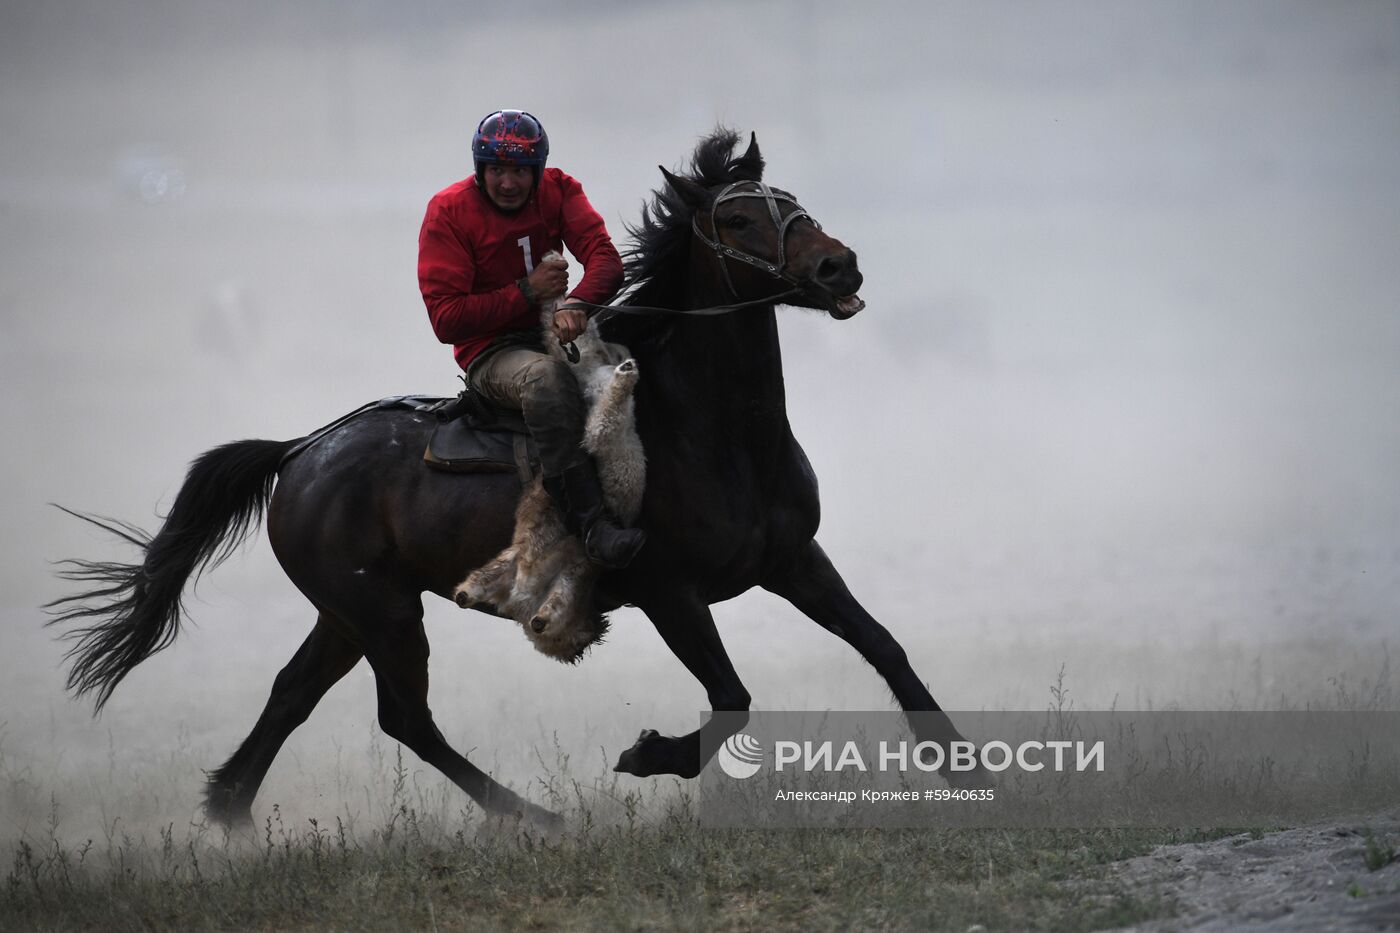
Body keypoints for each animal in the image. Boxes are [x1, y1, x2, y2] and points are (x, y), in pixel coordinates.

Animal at [51, 127, 974, 823]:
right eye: (740, 216)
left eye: (791, 202)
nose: (838, 267)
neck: (709, 430)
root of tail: (301, 451)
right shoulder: (669, 591)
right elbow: (732, 695)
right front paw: (648, 755)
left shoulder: (794, 562)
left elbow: (884, 646)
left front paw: (969, 766)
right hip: (382, 612)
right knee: (406, 717)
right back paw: (535, 815)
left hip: (347, 614)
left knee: (292, 694)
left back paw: (232, 813)